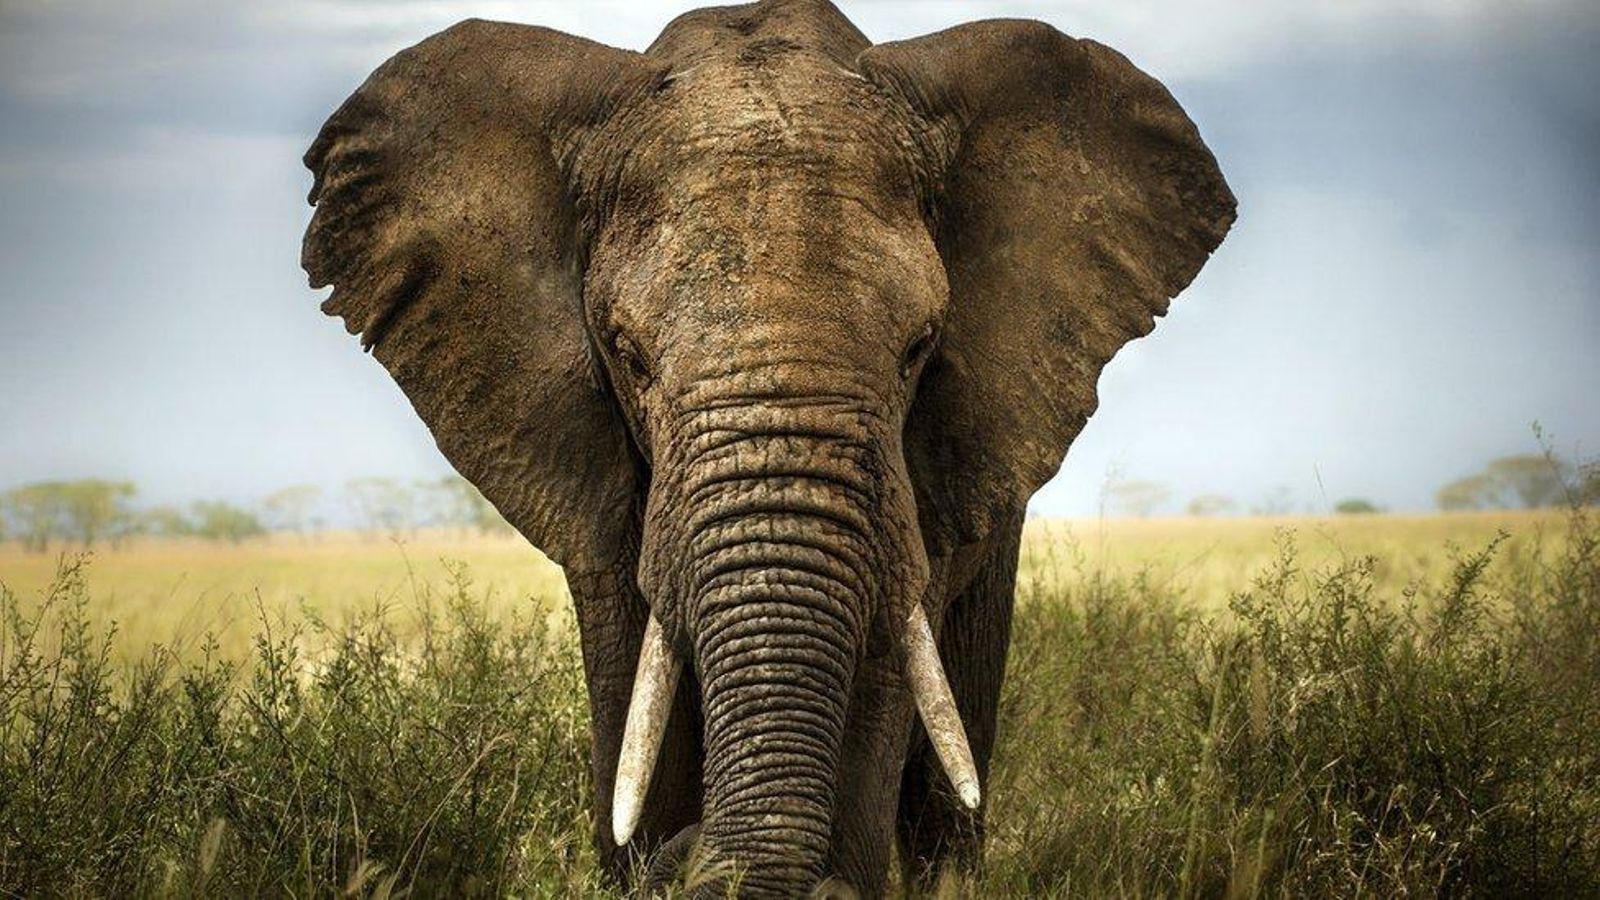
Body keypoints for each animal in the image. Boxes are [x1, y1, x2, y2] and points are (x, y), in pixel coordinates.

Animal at [301, 0, 1233, 895]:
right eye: (628, 355)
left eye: (920, 348)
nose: (689, 853)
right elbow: (631, 682)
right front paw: (643, 850)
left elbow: (884, 674)